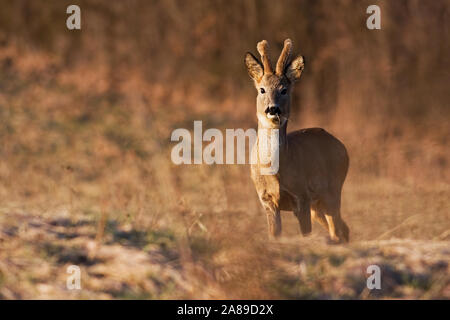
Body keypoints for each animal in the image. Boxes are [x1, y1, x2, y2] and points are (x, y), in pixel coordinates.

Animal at [244, 38, 350, 242]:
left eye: (284, 90)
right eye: (262, 89)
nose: (273, 109)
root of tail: (341, 147)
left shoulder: (301, 196)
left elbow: (305, 234)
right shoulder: (267, 200)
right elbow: (274, 235)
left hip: (333, 190)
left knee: (338, 230)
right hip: (318, 205)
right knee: (343, 228)